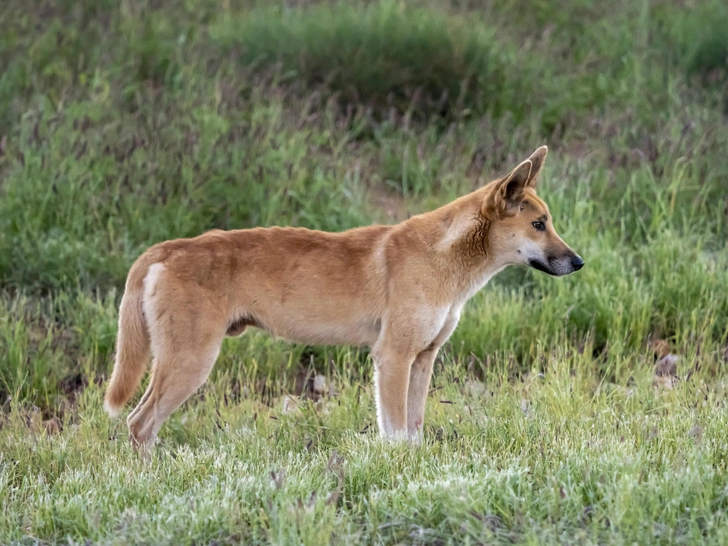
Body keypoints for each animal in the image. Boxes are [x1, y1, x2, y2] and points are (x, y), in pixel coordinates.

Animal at [104, 144, 580, 442]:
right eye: (539, 224)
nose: (577, 262)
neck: (443, 260)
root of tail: (166, 248)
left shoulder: (423, 359)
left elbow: (414, 432)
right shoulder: (393, 357)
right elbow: (395, 435)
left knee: (141, 424)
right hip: (191, 361)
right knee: (139, 423)